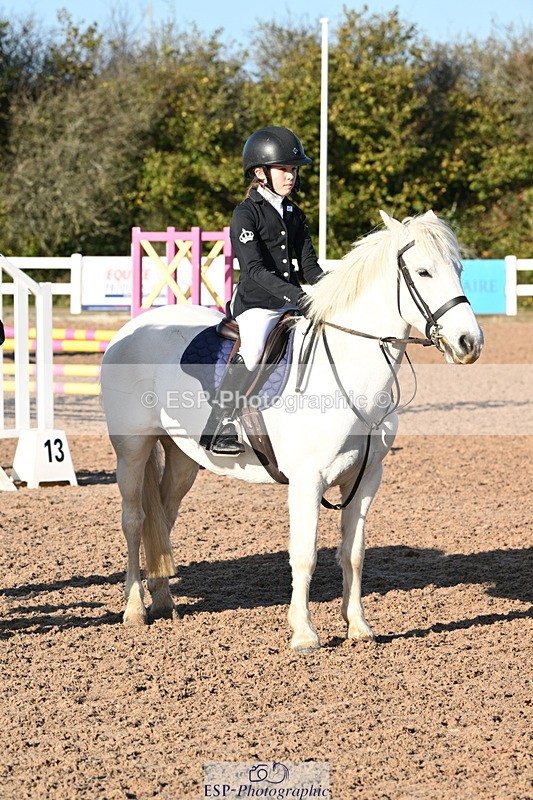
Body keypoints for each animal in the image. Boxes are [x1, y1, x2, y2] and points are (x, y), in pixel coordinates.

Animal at [101, 210, 483, 651]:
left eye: (458, 269)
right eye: (423, 272)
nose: (469, 342)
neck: (348, 373)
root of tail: (132, 329)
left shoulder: (366, 478)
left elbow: (353, 553)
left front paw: (358, 626)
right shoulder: (307, 481)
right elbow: (305, 555)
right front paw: (303, 632)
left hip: (182, 458)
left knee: (162, 518)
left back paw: (163, 601)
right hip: (132, 449)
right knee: (134, 520)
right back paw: (134, 609)